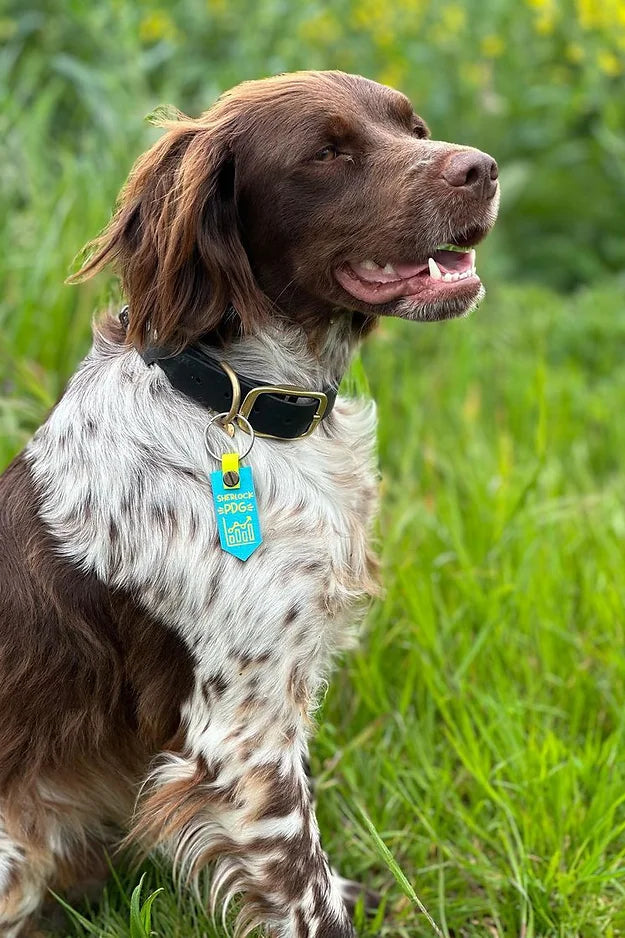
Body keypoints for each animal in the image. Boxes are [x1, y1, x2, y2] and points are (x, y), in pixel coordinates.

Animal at [0, 69, 498, 932]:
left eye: (414, 127)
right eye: (327, 153)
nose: (483, 169)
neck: (243, 403)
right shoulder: (241, 734)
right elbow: (299, 882)